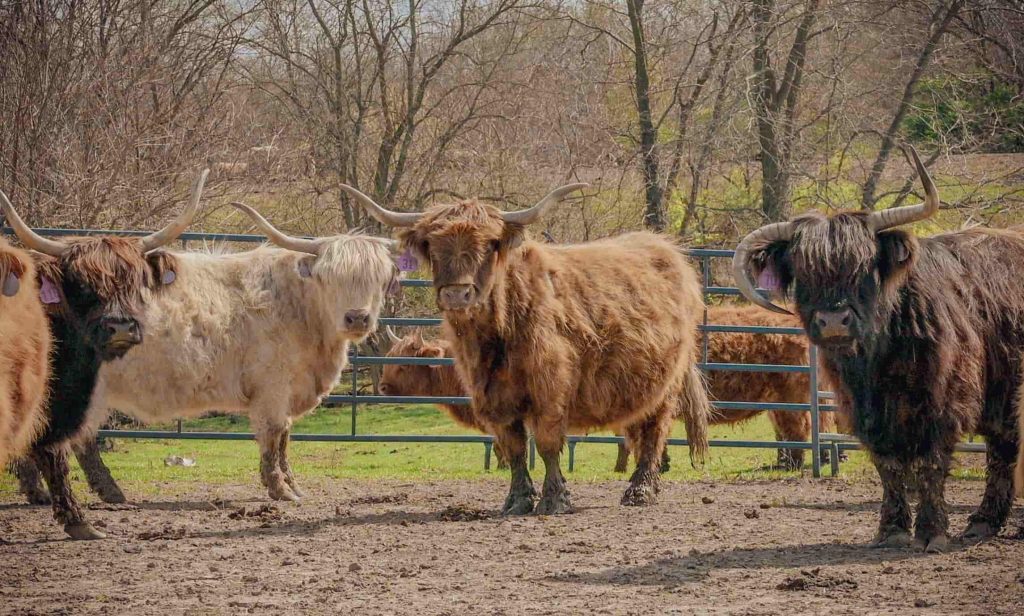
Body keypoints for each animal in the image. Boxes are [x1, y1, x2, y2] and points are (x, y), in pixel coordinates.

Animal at [67, 203, 400, 503]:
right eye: (328, 278)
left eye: (379, 280)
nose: (357, 317)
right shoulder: (272, 388)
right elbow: (273, 434)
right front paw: (280, 490)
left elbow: (284, 438)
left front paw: (293, 487)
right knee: (80, 439)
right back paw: (111, 491)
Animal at [344, 183, 711, 514]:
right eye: (431, 246)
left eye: (490, 244)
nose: (457, 294)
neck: (495, 336)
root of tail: (667, 249)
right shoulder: (492, 396)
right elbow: (515, 447)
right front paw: (517, 500)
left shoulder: (549, 389)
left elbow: (547, 445)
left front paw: (554, 499)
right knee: (637, 430)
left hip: (668, 385)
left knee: (654, 431)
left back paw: (640, 492)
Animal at [732, 145, 1022, 551]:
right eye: (803, 272)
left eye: (864, 267)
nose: (833, 321)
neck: (877, 360)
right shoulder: (865, 411)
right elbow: (889, 467)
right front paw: (893, 530)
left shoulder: (942, 402)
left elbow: (931, 464)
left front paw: (932, 533)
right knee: (1002, 447)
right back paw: (982, 523)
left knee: (1002, 448)